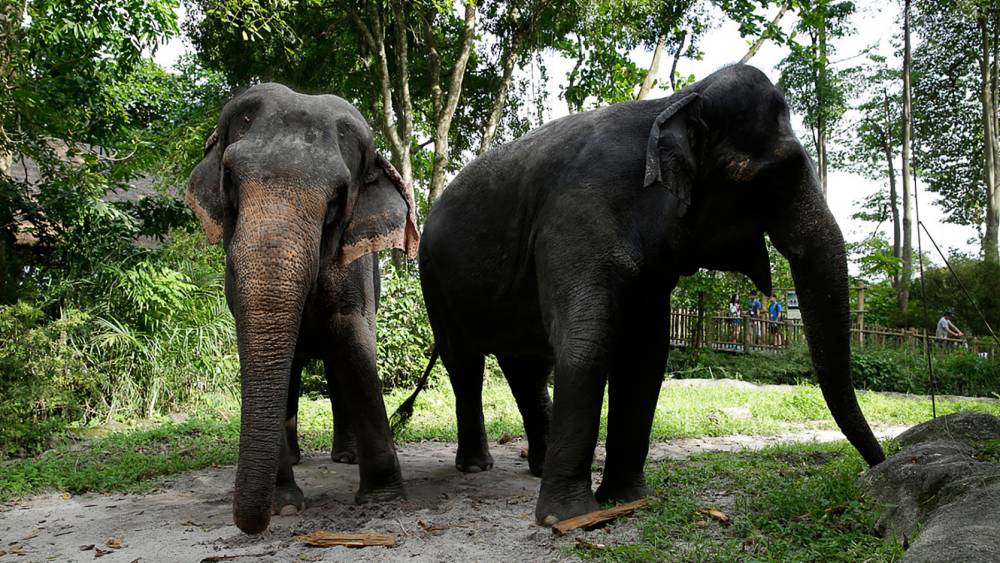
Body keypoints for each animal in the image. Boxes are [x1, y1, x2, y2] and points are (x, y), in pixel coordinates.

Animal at [185, 82, 419, 534]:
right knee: (293, 370)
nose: (251, 524)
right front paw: (285, 506)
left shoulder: (355, 267)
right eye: (230, 179)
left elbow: (353, 341)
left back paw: (346, 457)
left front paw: (384, 500)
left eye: (336, 199)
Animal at [418, 64, 886, 526]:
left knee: (526, 369)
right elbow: (586, 343)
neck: (672, 102)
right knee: (464, 362)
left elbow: (645, 355)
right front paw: (567, 519)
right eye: (770, 179)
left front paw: (625, 500)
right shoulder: (575, 218)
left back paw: (536, 466)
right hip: (433, 279)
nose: (875, 469)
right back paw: (476, 466)